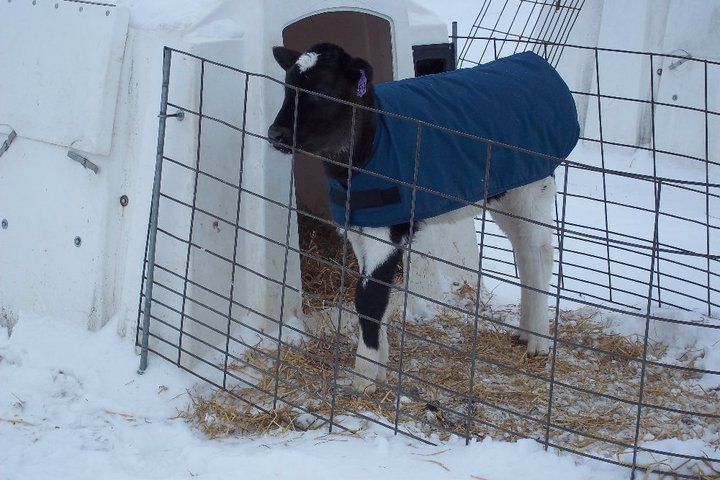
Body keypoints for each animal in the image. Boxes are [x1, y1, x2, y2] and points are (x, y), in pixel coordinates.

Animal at [268, 43, 579, 393]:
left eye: (323, 91)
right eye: (287, 87)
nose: (275, 133)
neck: (369, 148)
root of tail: (535, 63)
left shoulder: (387, 229)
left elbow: (369, 299)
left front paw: (363, 378)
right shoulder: (361, 227)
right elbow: (376, 298)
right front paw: (379, 365)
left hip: (532, 187)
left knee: (539, 255)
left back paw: (539, 341)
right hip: (506, 192)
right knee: (524, 253)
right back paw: (525, 331)